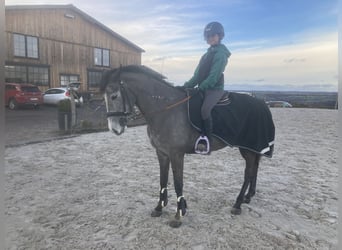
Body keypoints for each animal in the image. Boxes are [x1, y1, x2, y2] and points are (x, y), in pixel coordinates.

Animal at [100, 65, 274, 229]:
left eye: (114, 96)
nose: (114, 129)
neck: (166, 110)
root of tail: (261, 102)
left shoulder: (176, 154)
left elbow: (178, 183)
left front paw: (178, 215)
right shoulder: (162, 153)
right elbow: (163, 180)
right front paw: (159, 208)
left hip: (247, 148)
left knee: (248, 172)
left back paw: (238, 203)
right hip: (251, 148)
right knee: (254, 169)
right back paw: (248, 197)